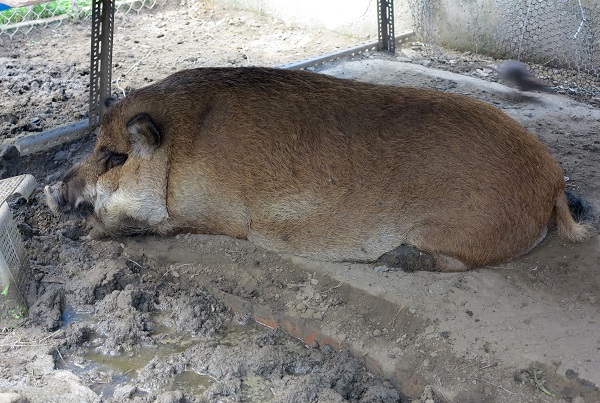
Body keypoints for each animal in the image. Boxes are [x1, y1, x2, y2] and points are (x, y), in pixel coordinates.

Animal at [43, 68, 596, 274]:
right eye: (94, 145)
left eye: (114, 156)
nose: (52, 188)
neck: (184, 151)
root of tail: (553, 181)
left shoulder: (218, 216)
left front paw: (86, 232)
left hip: (460, 225)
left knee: (455, 262)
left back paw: (395, 260)